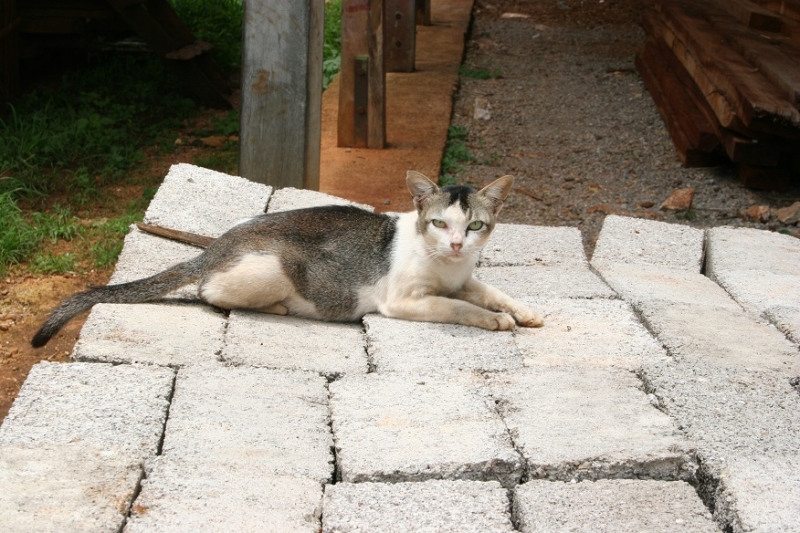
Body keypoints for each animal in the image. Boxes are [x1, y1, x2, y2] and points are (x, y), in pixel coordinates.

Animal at [31, 168, 544, 348]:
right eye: (439, 223)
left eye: (473, 227)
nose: (456, 244)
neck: (448, 266)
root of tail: (214, 246)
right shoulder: (403, 301)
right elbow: (459, 307)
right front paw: (495, 321)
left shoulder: (466, 278)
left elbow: (490, 291)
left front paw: (524, 312)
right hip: (273, 267)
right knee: (209, 292)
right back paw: (277, 307)